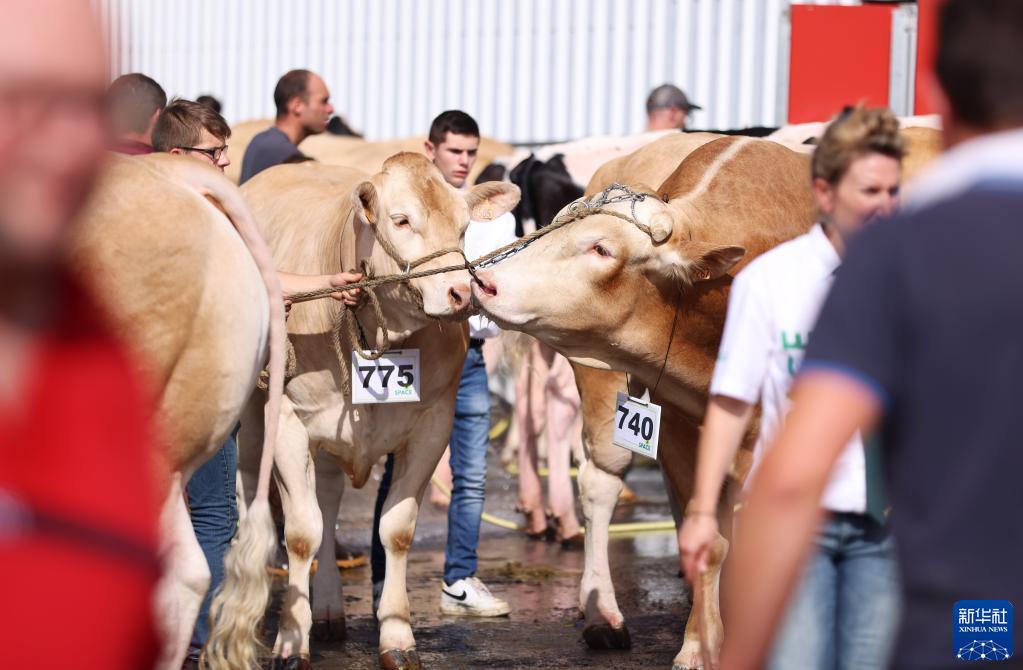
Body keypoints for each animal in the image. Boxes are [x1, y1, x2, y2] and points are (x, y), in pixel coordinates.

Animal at [205, 154, 519, 670]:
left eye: (464, 226)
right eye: (402, 220)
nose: (461, 293)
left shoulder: (433, 423)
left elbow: (396, 529)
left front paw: (396, 635)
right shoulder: (289, 420)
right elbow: (301, 533)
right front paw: (291, 640)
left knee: (330, 498)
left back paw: (330, 608)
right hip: (253, 421)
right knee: (256, 494)